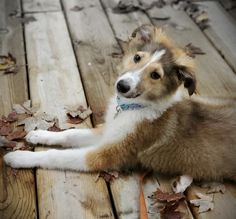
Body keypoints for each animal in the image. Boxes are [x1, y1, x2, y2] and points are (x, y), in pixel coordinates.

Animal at [3, 24, 236, 192]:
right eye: (137, 57)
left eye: (155, 75)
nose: (122, 86)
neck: (133, 107)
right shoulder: (109, 133)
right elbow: (71, 134)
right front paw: (39, 134)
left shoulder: (109, 153)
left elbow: (57, 156)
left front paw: (20, 158)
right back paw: (183, 180)